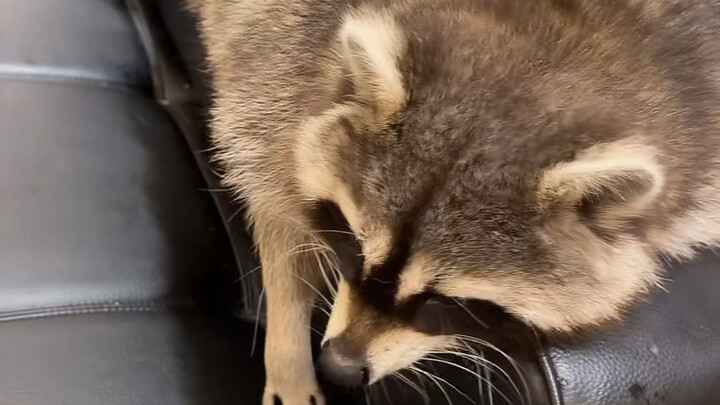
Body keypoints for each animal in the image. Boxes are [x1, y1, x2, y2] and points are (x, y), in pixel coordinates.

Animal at [190, 0, 720, 404]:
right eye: (354, 249)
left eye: (445, 301)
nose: (338, 368)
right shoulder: (273, 55)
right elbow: (273, 203)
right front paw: (288, 351)